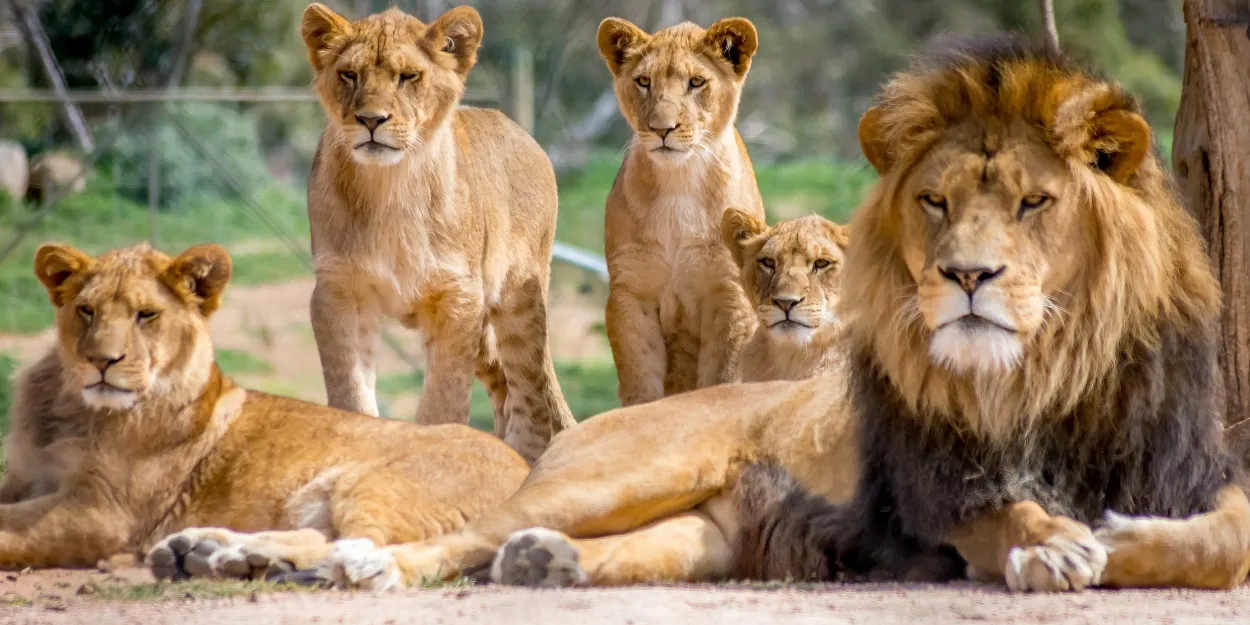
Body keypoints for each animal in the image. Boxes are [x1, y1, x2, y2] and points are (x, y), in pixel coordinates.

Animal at [0, 242, 528, 575]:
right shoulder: (24, 478)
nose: (101, 361)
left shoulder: (104, 512)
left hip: (376, 483)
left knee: (360, 545)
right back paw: (211, 552)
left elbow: (10, 528)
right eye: (86, 310)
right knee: (324, 537)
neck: (73, 409)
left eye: (145, 315)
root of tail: (526, 468)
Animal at [301, 4, 574, 462]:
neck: (389, 187)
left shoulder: (458, 297)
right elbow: (351, 394)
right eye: (349, 75)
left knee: (530, 391)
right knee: (504, 384)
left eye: (408, 76)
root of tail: (525, 135)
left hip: (518, 298)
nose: (371, 120)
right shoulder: (338, 293)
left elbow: (443, 402)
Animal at [598, 17, 766, 406]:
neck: (679, 181)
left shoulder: (729, 294)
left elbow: (722, 379)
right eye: (644, 81)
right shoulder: (631, 292)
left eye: (696, 82)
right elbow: (641, 383)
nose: (662, 129)